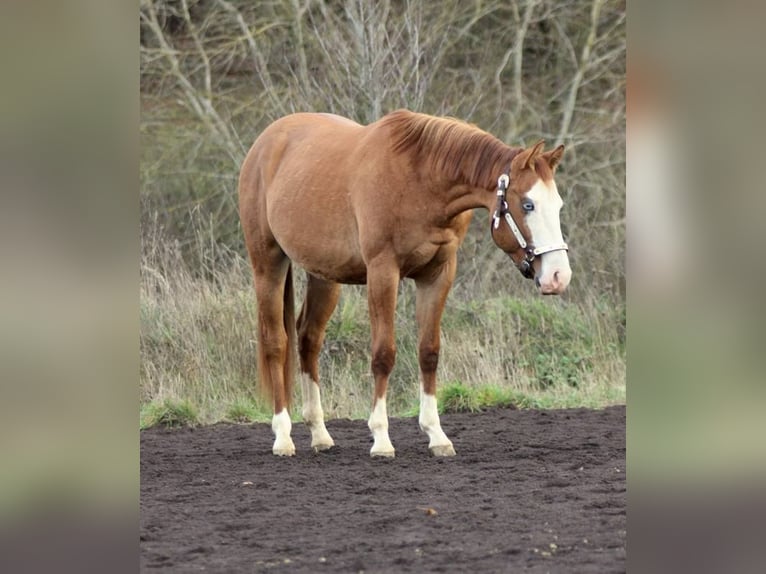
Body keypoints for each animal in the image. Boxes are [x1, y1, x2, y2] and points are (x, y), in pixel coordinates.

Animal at [238, 109, 571, 457]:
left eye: (558, 205)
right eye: (528, 204)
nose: (558, 276)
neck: (421, 181)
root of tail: (265, 143)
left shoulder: (438, 274)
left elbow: (429, 352)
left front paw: (436, 435)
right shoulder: (383, 271)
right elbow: (384, 354)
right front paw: (381, 439)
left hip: (324, 275)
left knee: (308, 339)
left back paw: (319, 434)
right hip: (268, 264)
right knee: (276, 342)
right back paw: (283, 436)